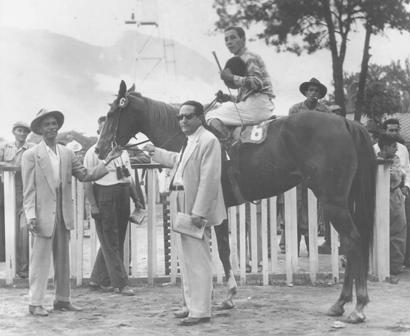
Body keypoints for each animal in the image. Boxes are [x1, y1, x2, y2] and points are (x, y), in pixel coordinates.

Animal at [95, 80, 374, 322]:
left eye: (110, 114)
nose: (99, 149)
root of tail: (346, 123)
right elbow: (222, 249)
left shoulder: (212, 208)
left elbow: (220, 251)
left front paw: (222, 296)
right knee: (353, 243)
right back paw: (342, 303)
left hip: (332, 201)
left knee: (353, 241)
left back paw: (357, 306)